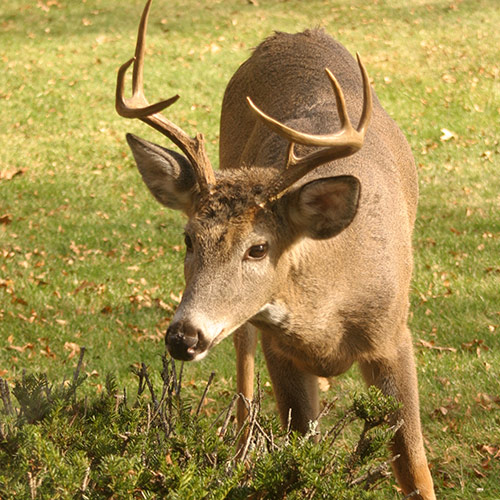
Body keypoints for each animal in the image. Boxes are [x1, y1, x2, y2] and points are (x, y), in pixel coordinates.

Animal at [115, 1, 436, 498]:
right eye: (188, 238)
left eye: (258, 248)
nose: (183, 337)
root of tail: (292, 34)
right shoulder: (280, 351)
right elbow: (300, 457)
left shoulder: (393, 336)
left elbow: (415, 468)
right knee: (245, 380)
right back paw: (238, 455)